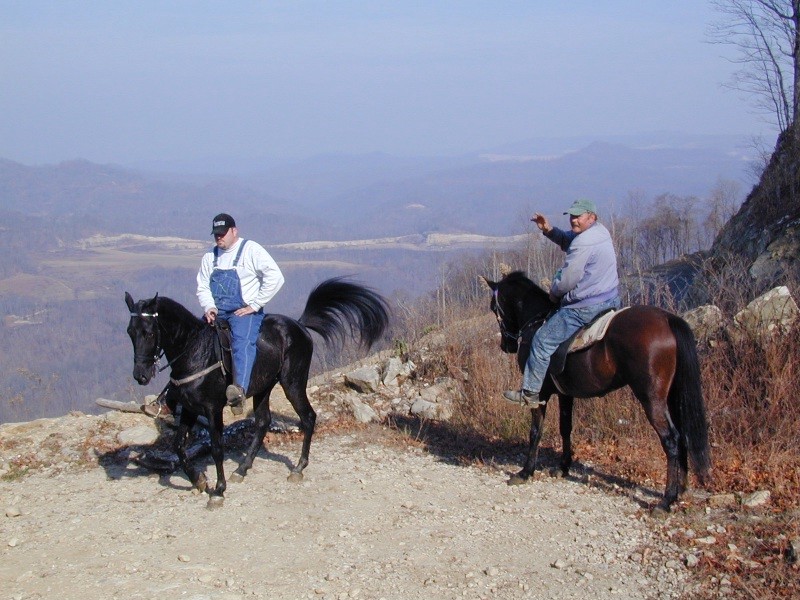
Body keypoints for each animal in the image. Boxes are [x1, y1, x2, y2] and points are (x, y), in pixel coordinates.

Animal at [125, 278, 390, 508]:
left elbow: (217, 448)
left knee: (308, 418)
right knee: (263, 421)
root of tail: (299, 325)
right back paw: (242, 469)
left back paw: (298, 468)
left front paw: (218, 491)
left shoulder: (212, 409)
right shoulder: (190, 409)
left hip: (292, 384)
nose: (140, 375)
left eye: (149, 332)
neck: (196, 353)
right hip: (263, 387)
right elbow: (179, 446)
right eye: (130, 331)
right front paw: (198, 480)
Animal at [482, 272, 712, 510]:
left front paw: (525, 472)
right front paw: (563, 467)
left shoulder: (540, 395)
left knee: (671, 439)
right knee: (682, 434)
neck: (536, 321)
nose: (506, 345)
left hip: (652, 399)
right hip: (674, 397)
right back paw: (681, 489)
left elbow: (536, 431)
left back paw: (666, 500)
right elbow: (566, 428)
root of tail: (667, 319)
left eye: (493, 306)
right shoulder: (565, 394)